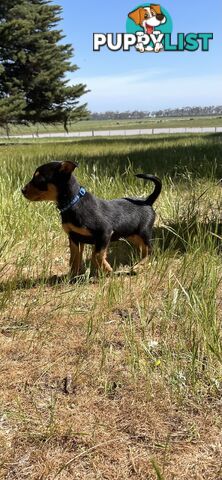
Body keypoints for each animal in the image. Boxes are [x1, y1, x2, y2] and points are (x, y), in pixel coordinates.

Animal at [22, 161, 161, 276]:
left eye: (39, 179)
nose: (22, 190)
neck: (73, 202)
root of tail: (147, 201)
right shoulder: (74, 238)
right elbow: (74, 257)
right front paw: (73, 275)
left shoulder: (104, 233)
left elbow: (97, 254)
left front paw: (107, 269)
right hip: (132, 234)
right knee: (144, 250)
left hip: (143, 232)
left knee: (150, 250)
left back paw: (139, 266)